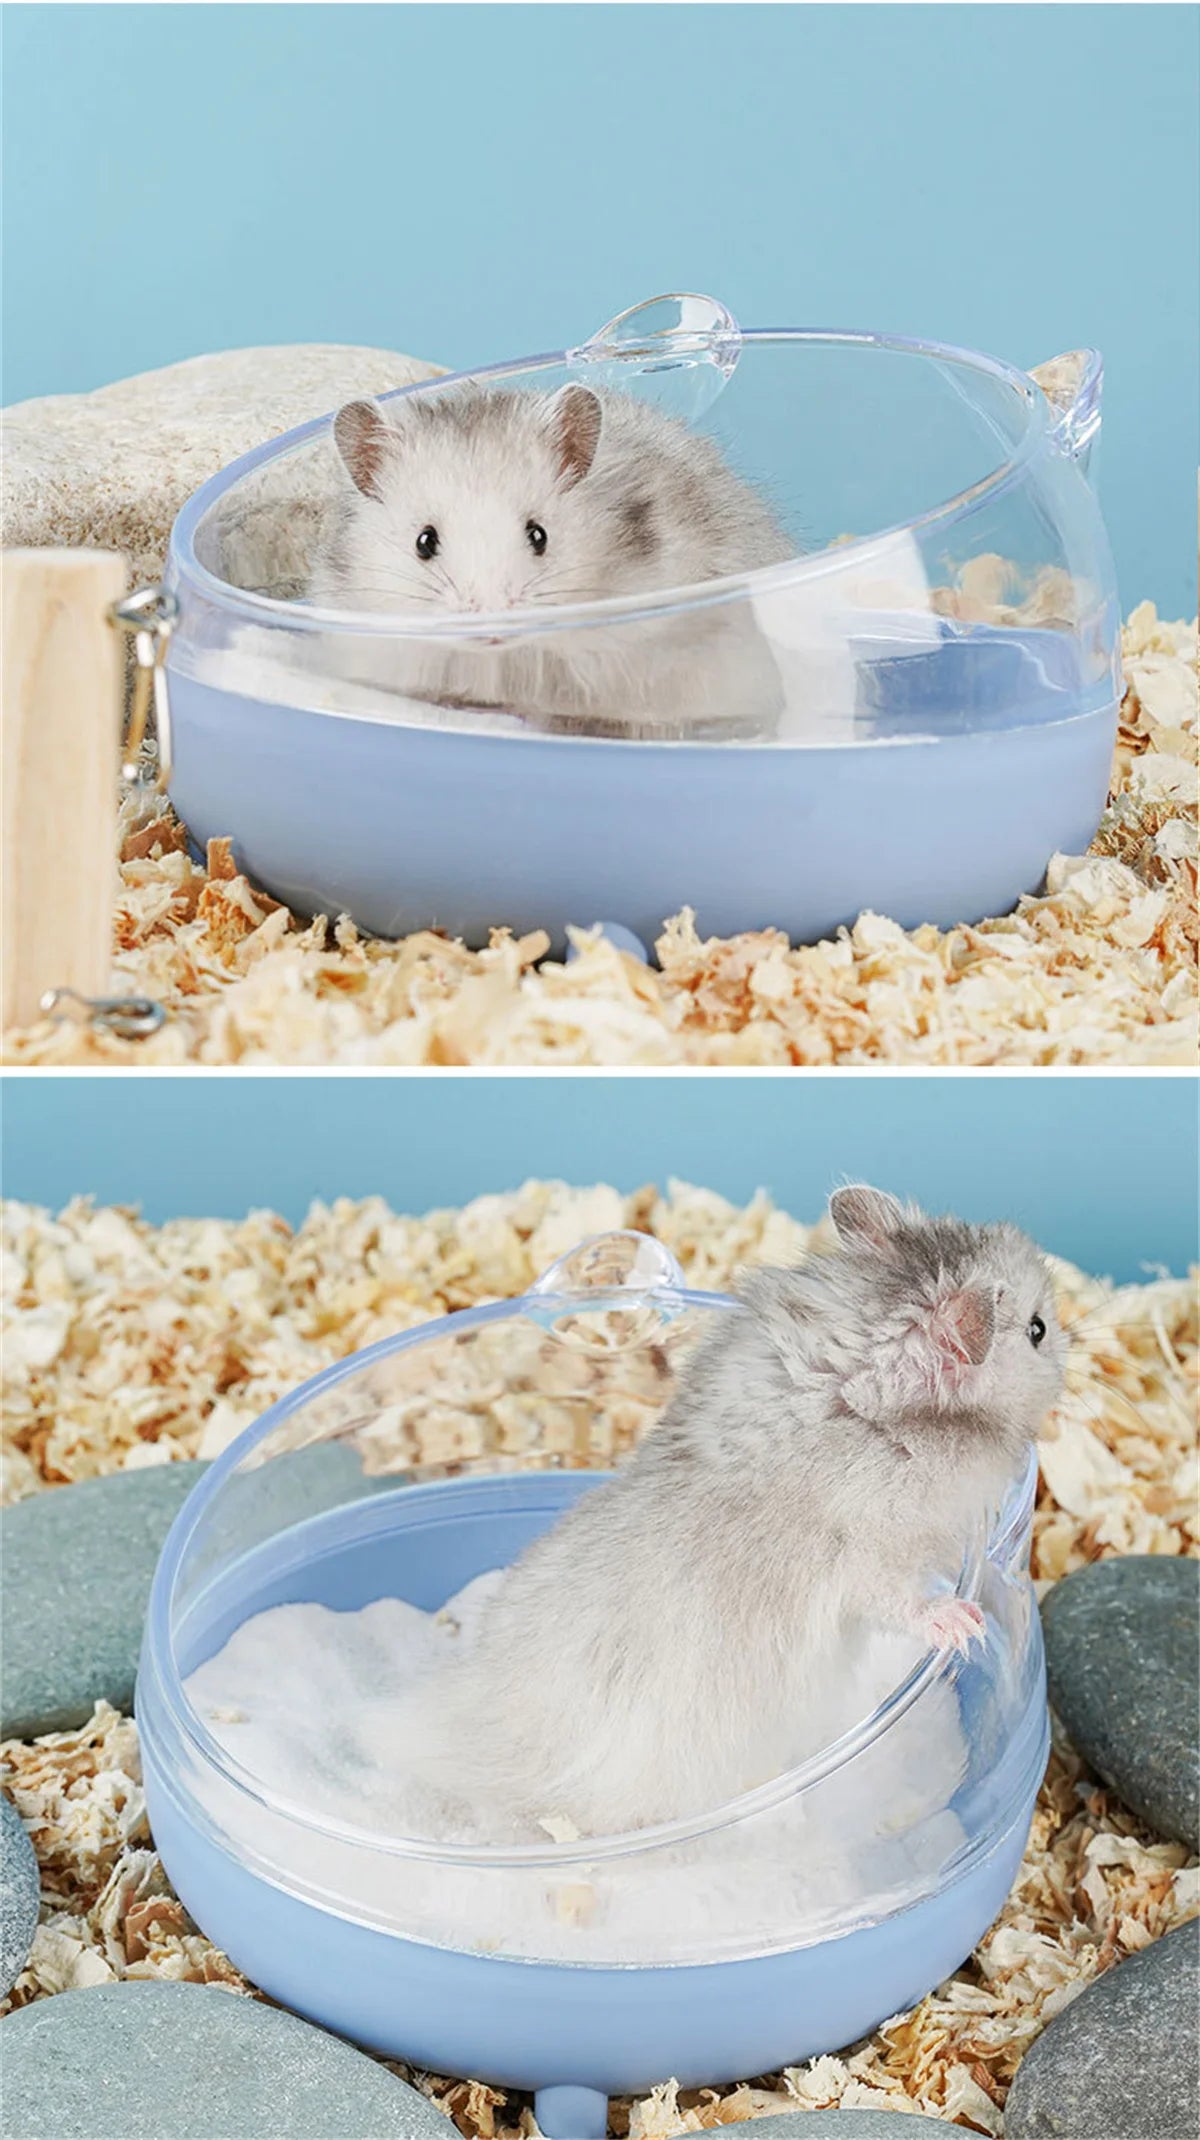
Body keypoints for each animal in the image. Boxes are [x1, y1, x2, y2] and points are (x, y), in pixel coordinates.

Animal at [389, 1185, 1067, 1840]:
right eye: (1036, 1329)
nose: (1071, 1348)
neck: (866, 1387)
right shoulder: (871, 1553)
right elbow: (903, 1600)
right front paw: (964, 1623)